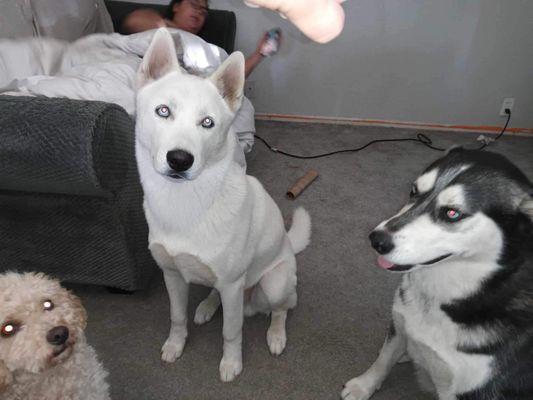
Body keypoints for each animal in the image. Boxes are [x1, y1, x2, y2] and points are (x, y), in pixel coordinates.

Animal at [134, 29, 312, 382]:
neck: (185, 203)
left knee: (283, 308)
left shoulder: (232, 285)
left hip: (274, 283)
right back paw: (206, 307)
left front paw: (231, 364)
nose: (179, 160)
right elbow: (177, 317)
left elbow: (231, 332)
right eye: (163, 111)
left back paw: (276, 335)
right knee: (217, 295)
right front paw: (175, 345)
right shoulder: (172, 275)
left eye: (207, 123)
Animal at [340, 148, 532, 400]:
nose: (377, 240)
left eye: (452, 213)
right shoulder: (399, 323)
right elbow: (384, 358)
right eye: (414, 191)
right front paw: (364, 385)